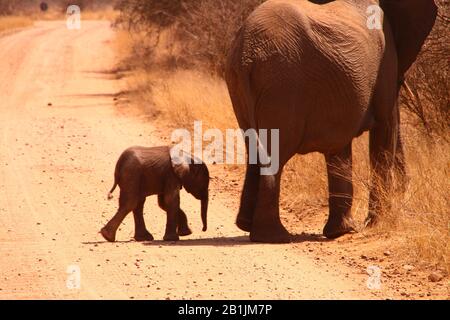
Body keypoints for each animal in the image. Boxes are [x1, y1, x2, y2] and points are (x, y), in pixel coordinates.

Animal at [227, 0, 438, 242]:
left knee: (254, 149)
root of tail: (246, 52)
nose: (405, 190)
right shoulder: (385, 59)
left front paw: (342, 231)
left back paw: (247, 226)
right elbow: (384, 128)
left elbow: (339, 146)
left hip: (243, 86)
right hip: (281, 84)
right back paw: (274, 237)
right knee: (275, 154)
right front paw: (375, 224)